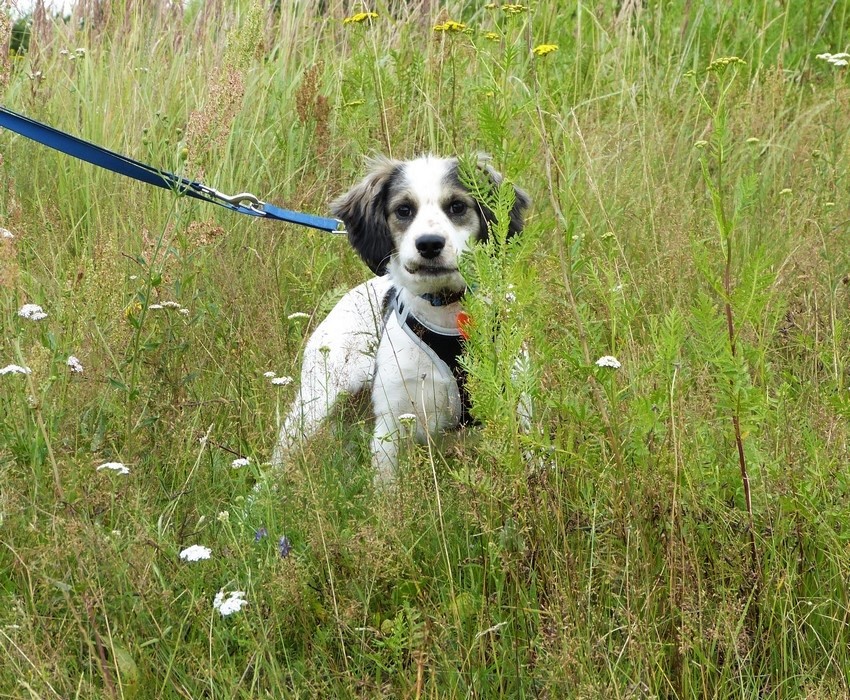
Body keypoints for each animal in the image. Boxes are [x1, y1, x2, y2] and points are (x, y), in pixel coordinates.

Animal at [271, 155, 529, 484]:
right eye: (404, 210)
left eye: (457, 206)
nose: (429, 244)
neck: (450, 316)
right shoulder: (390, 427)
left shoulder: (519, 413)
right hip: (314, 406)